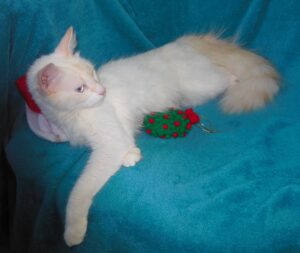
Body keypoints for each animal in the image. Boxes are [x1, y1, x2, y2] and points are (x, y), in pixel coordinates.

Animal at [27, 27, 280, 245]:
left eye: (92, 73)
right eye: (80, 89)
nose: (102, 90)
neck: (73, 115)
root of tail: (181, 43)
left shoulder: (109, 141)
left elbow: (79, 190)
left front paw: (73, 231)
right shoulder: (114, 134)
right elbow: (126, 142)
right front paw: (132, 155)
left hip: (202, 84)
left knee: (227, 75)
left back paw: (235, 84)